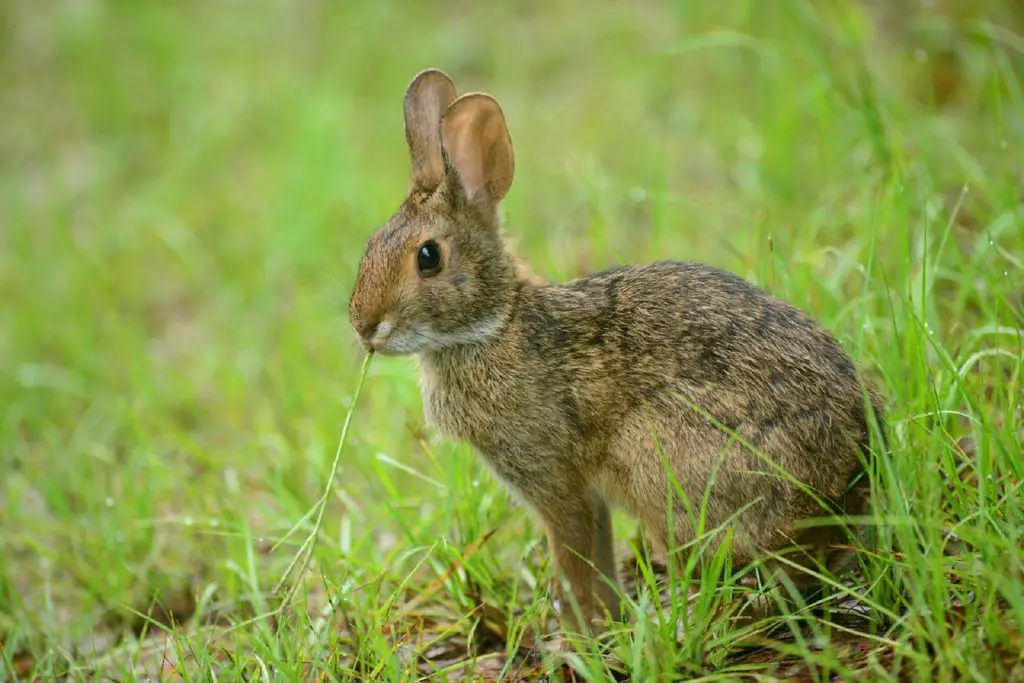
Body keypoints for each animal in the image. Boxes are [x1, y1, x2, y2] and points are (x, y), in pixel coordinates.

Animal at [348, 68, 884, 634]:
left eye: (428, 256)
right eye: (372, 242)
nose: (364, 327)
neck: (495, 325)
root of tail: (847, 481)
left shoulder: (556, 481)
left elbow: (573, 555)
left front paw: (578, 633)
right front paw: (603, 622)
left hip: (663, 465)